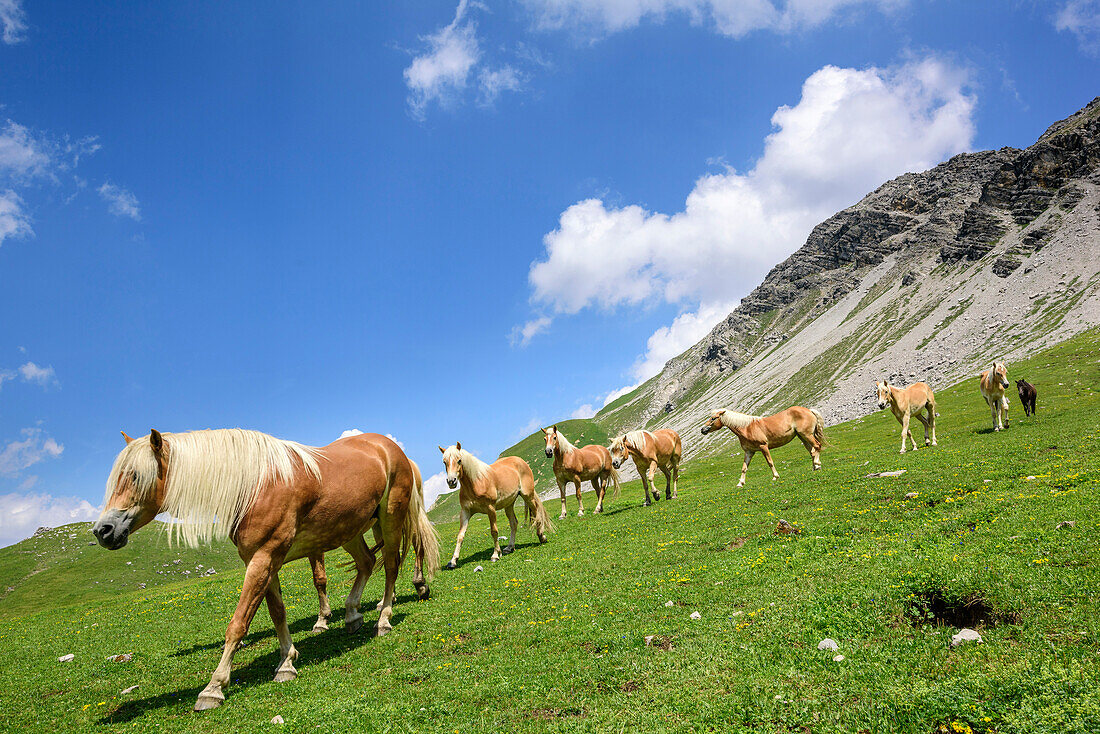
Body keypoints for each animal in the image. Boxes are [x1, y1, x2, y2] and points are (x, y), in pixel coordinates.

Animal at [91, 431, 437, 713]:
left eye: (136, 476)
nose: (102, 530)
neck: (253, 485)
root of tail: (388, 446)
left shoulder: (264, 557)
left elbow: (238, 623)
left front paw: (213, 687)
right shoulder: (262, 561)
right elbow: (277, 612)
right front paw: (286, 663)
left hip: (390, 518)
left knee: (390, 566)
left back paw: (384, 619)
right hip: (349, 528)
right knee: (366, 562)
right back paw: (352, 615)